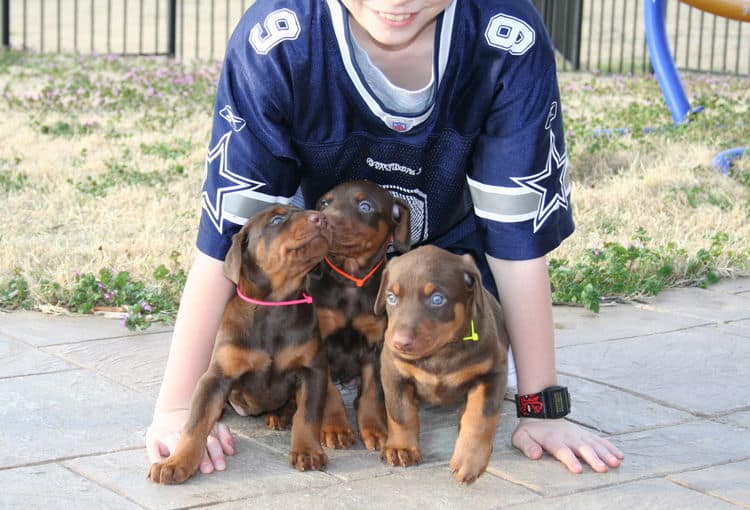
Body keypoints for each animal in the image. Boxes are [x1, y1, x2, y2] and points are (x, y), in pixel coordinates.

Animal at [148, 205, 330, 484]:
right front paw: (177, 462)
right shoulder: (216, 377)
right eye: (277, 219)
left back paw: (281, 415)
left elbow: (308, 414)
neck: (275, 306)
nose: (322, 218)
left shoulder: (313, 370)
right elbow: (195, 423)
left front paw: (308, 451)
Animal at [308, 180, 412, 450]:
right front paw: (334, 428)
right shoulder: (321, 340)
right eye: (324, 203)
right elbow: (329, 390)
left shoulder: (376, 342)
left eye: (365, 206)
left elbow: (371, 390)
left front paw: (374, 429)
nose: (322, 219)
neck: (350, 280)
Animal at [376, 245, 512, 484]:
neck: (440, 353)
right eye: (391, 297)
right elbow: (400, 413)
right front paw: (402, 448)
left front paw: (470, 460)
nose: (399, 343)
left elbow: (479, 418)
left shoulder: (493, 373)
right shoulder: (393, 370)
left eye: (437, 299)